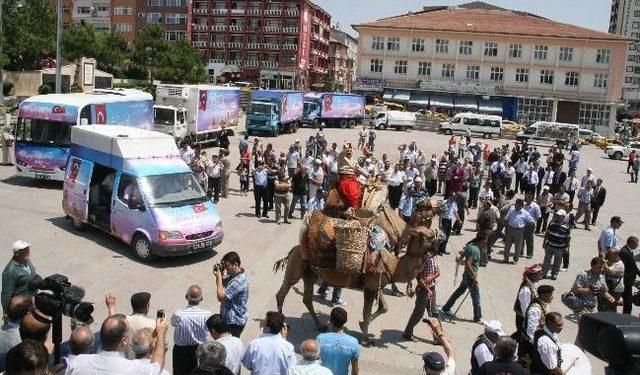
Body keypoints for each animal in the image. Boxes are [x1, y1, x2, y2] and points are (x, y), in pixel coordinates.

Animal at [270, 189, 440, 346]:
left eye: (431, 234)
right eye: (425, 236)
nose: (438, 243)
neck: (393, 264)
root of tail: (294, 249)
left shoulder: (376, 284)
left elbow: (383, 307)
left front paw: (362, 326)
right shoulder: (370, 287)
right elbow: (367, 311)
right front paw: (365, 338)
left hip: (309, 273)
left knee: (307, 298)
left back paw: (320, 325)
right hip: (296, 265)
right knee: (282, 292)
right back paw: (281, 325)